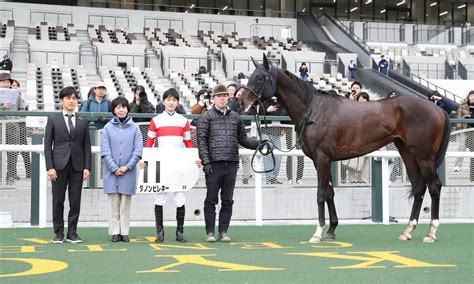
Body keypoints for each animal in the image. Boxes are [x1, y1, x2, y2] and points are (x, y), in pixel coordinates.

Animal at [241, 54, 452, 243]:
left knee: (434, 187)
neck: (313, 110)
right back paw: (407, 230)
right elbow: (329, 192)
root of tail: (437, 108)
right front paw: (331, 229)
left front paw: (318, 232)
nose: (242, 101)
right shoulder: (321, 161)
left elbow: (320, 194)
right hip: (407, 152)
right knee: (418, 187)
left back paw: (431, 232)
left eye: (259, 78)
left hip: (424, 157)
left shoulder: (322, 158)